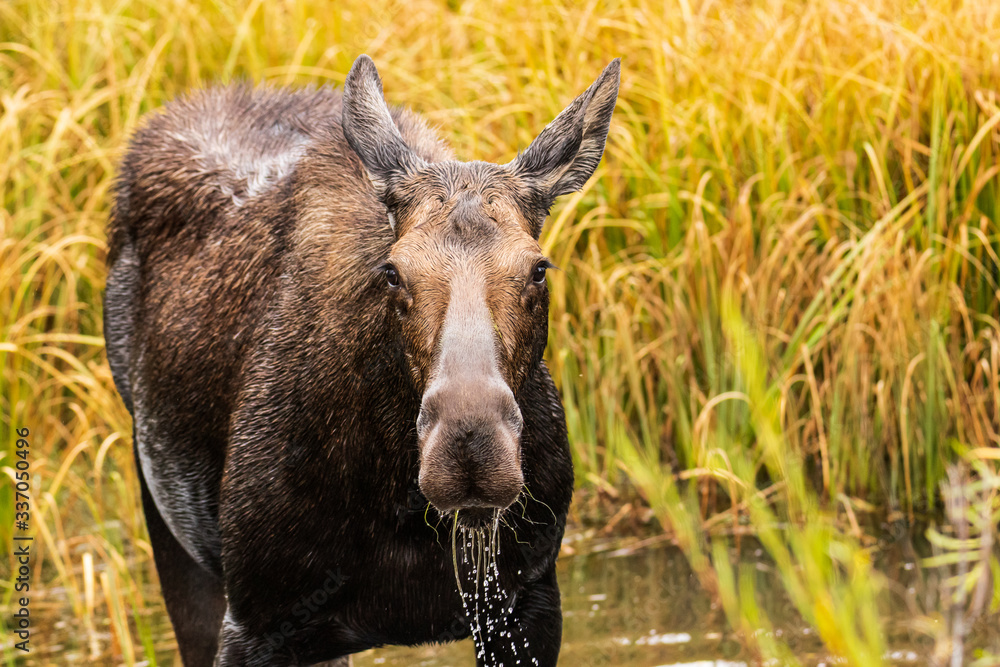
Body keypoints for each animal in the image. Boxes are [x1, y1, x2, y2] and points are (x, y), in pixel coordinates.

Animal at [103, 54, 620, 666]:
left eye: (539, 268)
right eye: (392, 272)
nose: (470, 444)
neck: (401, 509)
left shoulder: (530, 598)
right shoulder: (255, 621)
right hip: (167, 518)